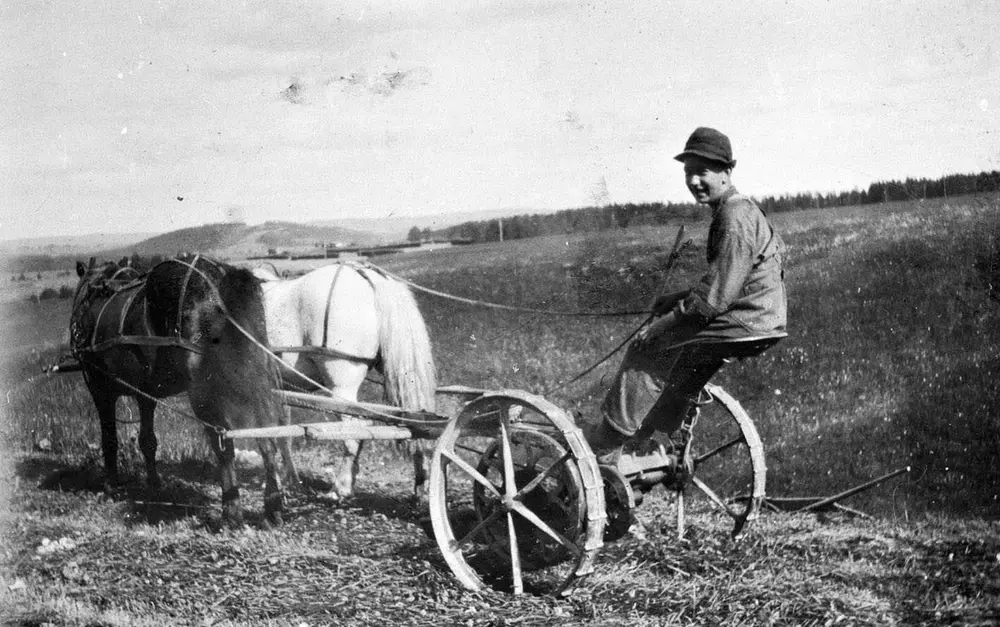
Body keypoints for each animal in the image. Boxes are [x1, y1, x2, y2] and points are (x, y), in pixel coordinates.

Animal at [73, 254, 286, 524]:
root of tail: (220, 278)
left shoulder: (100, 389)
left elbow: (109, 439)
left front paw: (112, 486)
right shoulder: (146, 394)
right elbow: (147, 441)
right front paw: (154, 485)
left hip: (205, 392)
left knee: (223, 444)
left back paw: (232, 511)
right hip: (255, 373)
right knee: (266, 438)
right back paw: (273, 504)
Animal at [252, 262, 436, 502]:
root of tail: (370, 277)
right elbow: (282, 434)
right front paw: (290, 481)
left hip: (341, 389)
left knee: (355, 433)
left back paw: (340, 488)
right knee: (414, 423)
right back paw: (421, 485)